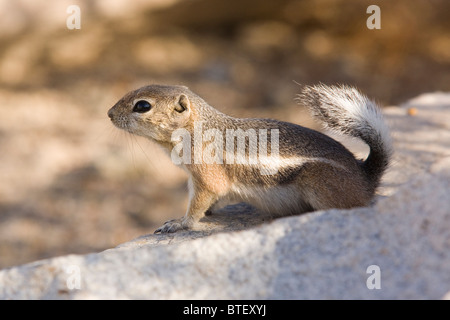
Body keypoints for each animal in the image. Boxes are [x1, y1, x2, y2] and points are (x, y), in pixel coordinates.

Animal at [107, 83, 392, 232]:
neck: (197, 129)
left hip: (321, 184)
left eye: (142, 105)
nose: (109, 114)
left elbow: (200, 201)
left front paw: (180, 223)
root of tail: (365, 177)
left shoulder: (206, 174)